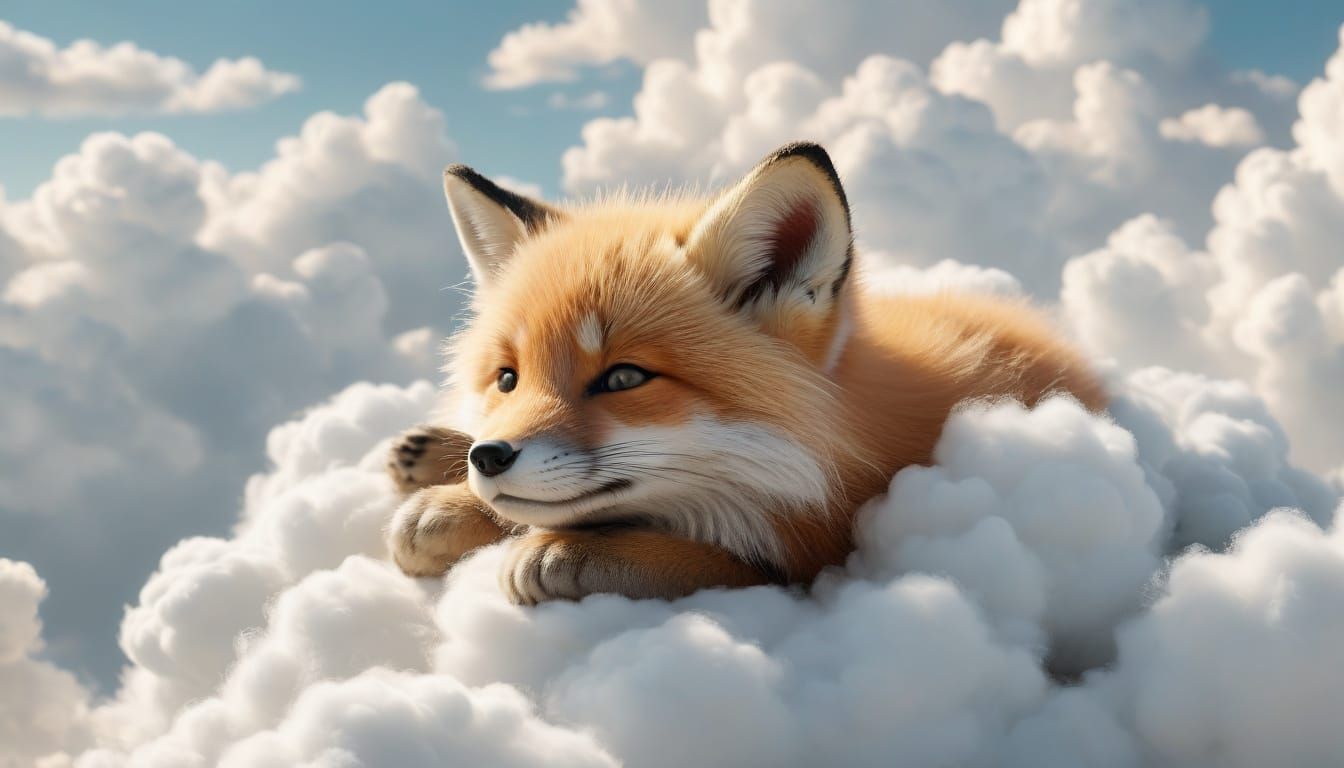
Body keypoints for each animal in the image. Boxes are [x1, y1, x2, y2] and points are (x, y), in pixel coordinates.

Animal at [386, 142, 1105, 605]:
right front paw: (455, 494)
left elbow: (724, 564)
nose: (489, 457)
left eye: (622, 379)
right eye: (508, 379)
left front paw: (586, 550)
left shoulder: (822, 559)